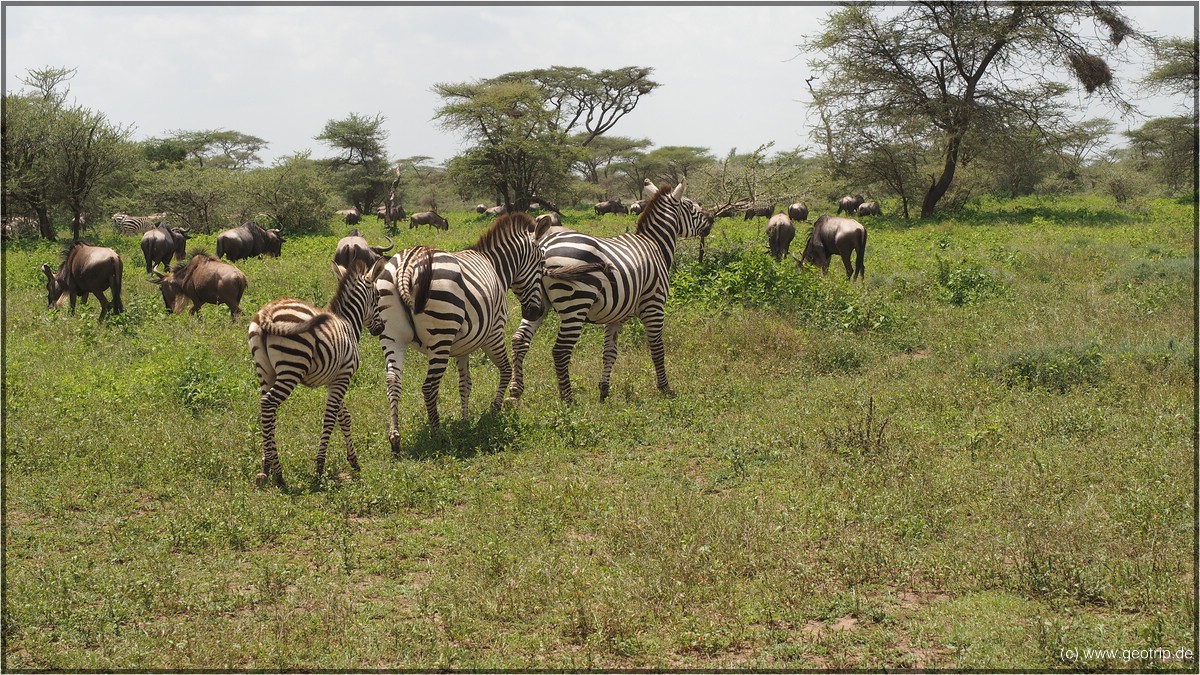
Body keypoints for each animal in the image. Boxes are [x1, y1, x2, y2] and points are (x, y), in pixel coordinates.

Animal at [247, 254, 386, 485]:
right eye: (377, 297)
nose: (381, 328)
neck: (348, 323)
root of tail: (267, 312)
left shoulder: (334, 379)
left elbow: (344, 417)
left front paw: (354, 461)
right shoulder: (344, 376)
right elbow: (330, 418)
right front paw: (320, 467)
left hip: (265, 371)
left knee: (266, 410)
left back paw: (265, 468)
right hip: (291, 368)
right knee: (268, 403)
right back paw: (279, 473)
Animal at [372, 210, 578, 451]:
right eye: (542, 263)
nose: (535, 312)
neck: (496, 268)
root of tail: (407, 262)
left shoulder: (463, 346)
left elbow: (465, 384)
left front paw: (465, 420)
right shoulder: (494, 332)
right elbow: (505, 369)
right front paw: (495, 408)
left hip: (391, 336)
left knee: (393, 381)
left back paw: (395, 439)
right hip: (440, 337)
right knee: (429, 387)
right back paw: (438, 434)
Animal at [506, 176, 710, 401]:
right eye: (690, 206)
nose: (711, 220)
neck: (654, 244)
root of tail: (544, 245)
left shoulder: (615, 314)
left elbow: (609, 353)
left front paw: (604, 390)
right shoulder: (654, 305)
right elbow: (657, 347)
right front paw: (665, 387)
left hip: (536, 301)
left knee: (519, 340)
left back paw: (515, 392)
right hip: (576, 304)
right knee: (560, 351)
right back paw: (568, 399)